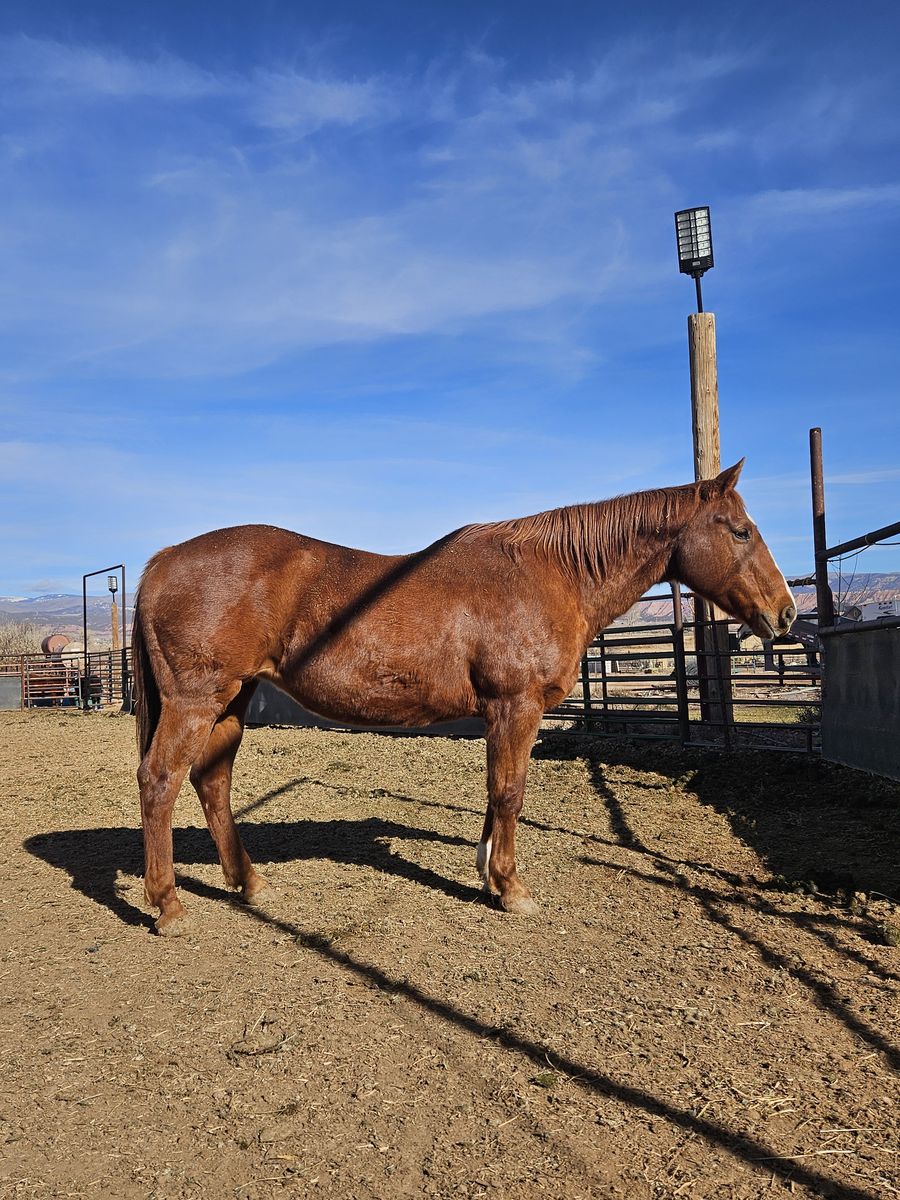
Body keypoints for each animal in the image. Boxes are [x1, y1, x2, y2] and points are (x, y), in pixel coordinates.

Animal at [132, 459, 795, 935]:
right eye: (741, 531)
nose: (785, 613)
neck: (548, 573)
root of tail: (161, 561)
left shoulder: (502, 715)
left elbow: (496, 793)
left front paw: (486, 869)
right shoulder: (517, 707)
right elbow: (509, 793)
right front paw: (511, 888)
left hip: (232, 701)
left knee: (211, 781)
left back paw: (248, 882)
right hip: (197, 700)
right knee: (161, 780)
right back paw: (169, 906)